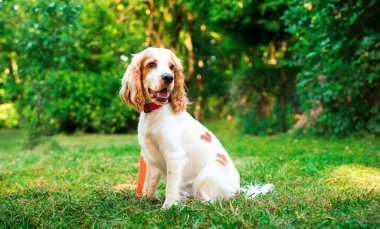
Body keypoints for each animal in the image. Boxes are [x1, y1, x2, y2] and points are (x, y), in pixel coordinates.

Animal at [119, 47, 239, 208]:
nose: (169, 78)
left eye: (172, 67)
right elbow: (148, 185)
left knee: (209, 201)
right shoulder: (151, 158)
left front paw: (168, 207)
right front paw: (145, 200)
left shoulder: (174, 156)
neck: (155, 111)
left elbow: (171, 186)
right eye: (151, 64)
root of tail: (239, 191)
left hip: (208, 173)